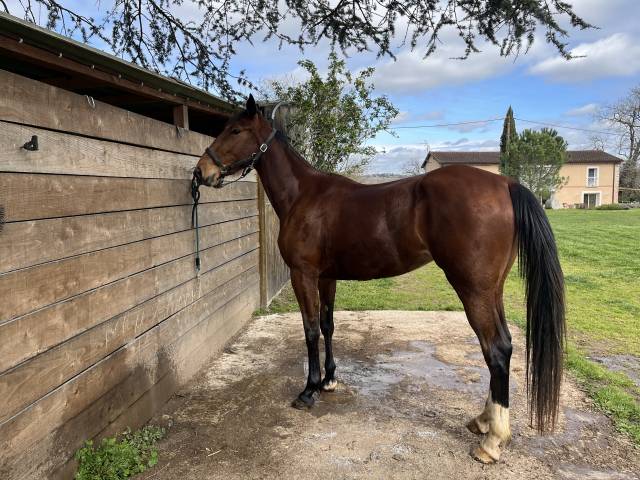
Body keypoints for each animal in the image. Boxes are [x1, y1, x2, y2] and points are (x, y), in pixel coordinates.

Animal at [193, 95, 565, 464]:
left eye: (235, 130)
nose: (200, 172)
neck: (304, 195)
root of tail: (506, 183)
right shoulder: (327, 277)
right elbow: (328, 325)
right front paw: (329, 380)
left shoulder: (304, 275)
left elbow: (311, 330)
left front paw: (309, 390)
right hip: (492, 291)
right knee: (504, 345)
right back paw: (484, 421)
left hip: (474, 291)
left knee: (496, 349)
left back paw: (492, 441)